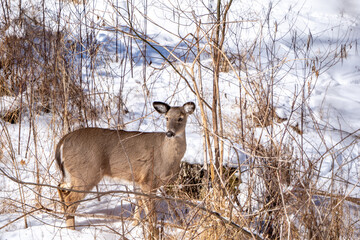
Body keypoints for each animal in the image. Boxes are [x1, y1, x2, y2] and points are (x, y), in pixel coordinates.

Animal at [56, 101, 195, 229]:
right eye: (166, 118)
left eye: (180, 118)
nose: (170, 133)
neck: (166, 155)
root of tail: (63, 141)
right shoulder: (148, 179)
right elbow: (151, 213)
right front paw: (153, 231)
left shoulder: (139, 180)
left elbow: (139, 205)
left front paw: (134, 224)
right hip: (86, 173)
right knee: (70, 200)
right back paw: (72, 230)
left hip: (72, 174)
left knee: (60, 186)